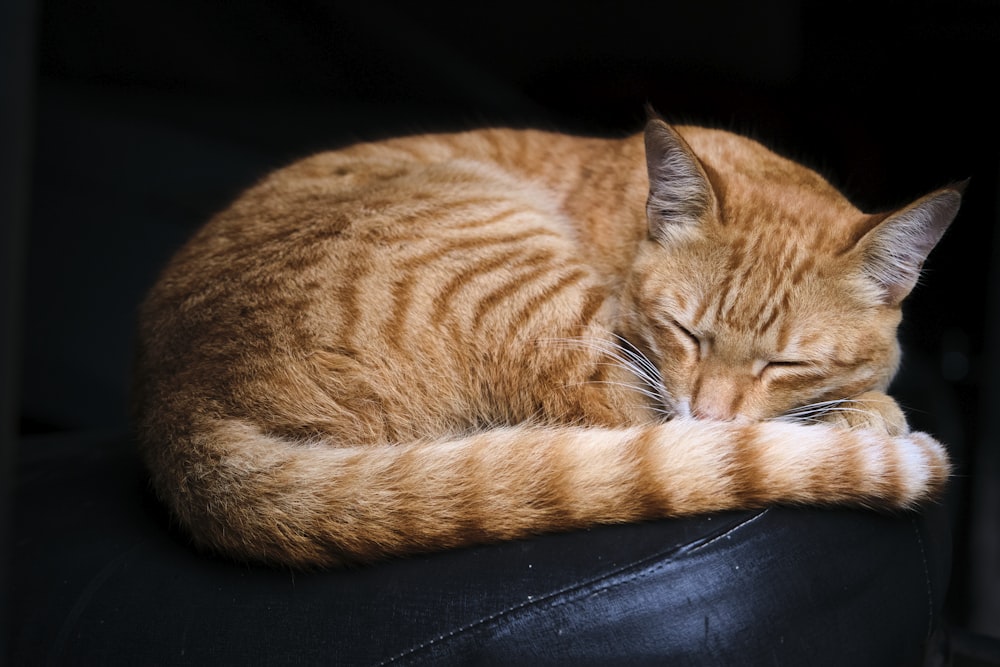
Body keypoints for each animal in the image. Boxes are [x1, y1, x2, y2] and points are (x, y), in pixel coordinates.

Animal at [131, 116, 960, 568]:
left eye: (785, 361)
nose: (712, 416)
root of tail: (177, 409)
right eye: (685, 331)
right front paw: (865, 409)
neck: (630, 219)